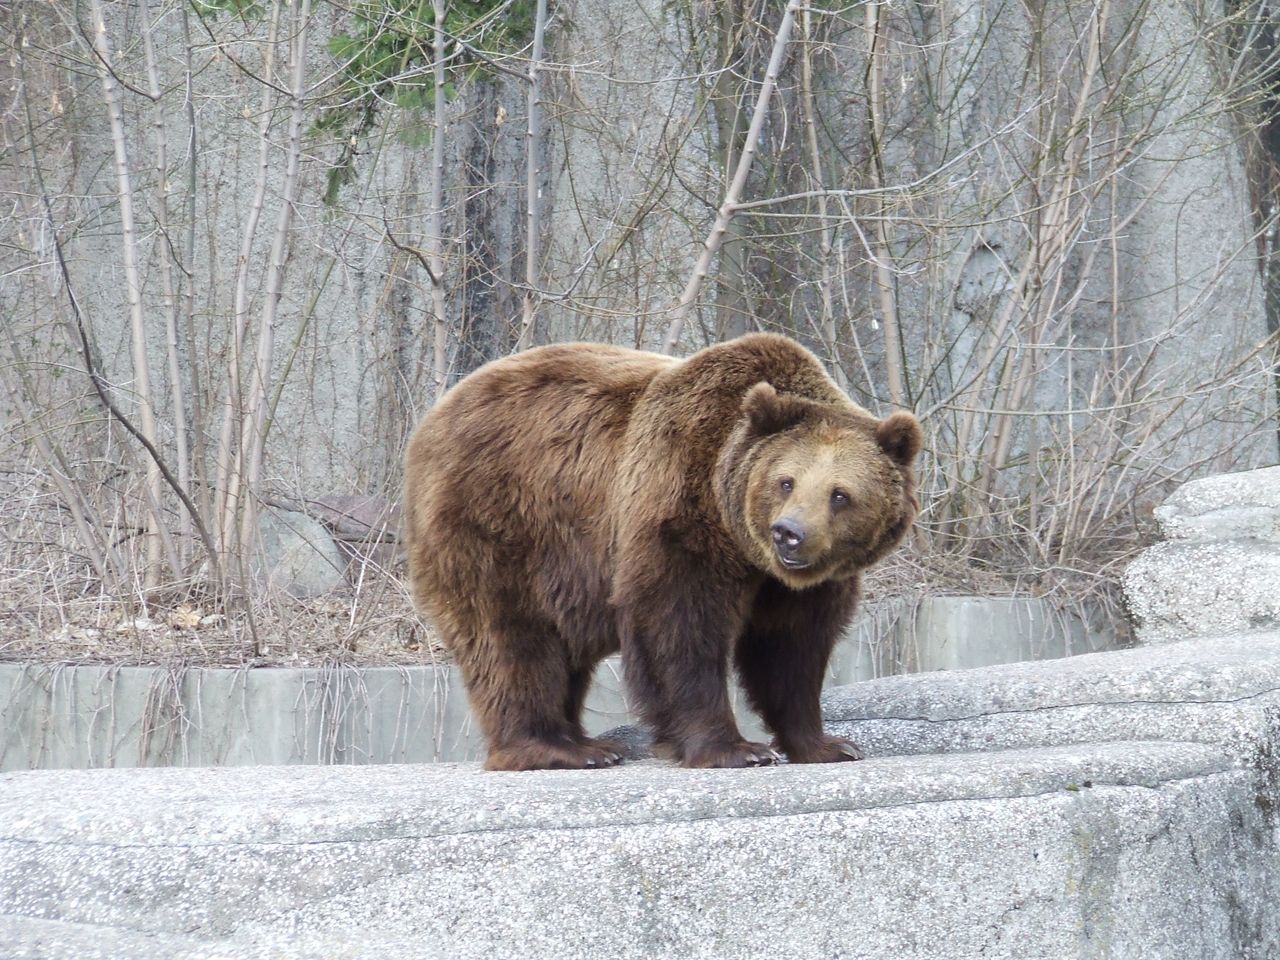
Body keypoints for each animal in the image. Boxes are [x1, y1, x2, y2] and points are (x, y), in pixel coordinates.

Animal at [404, 335, 916, 773]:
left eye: (840, 494)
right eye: (785, 481)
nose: (789, 533)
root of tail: (433, 419)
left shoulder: (801, 584)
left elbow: (792, 648)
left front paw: (828, 744)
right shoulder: (676, 500)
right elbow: (678, 623)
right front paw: (735, 749)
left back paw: (585, 741)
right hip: (503, 521)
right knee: (511, 639)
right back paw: (559, 748)